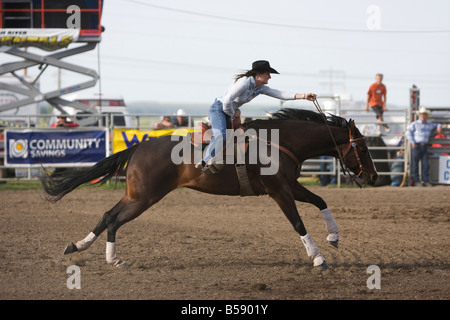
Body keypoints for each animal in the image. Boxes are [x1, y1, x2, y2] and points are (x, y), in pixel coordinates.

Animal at [41, 108, 380, 270]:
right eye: (363, 148)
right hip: (145, 198)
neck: (279, 141)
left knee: (107, 215)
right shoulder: (279, 191)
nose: (375, 177)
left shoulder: (291, 185)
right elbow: (298, 223)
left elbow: (320, 200)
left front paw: (334, 237)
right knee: (114, 219)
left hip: (135, 195)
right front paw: (318, 258)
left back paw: (78, 246)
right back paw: (112, 259)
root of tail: (139, 147)